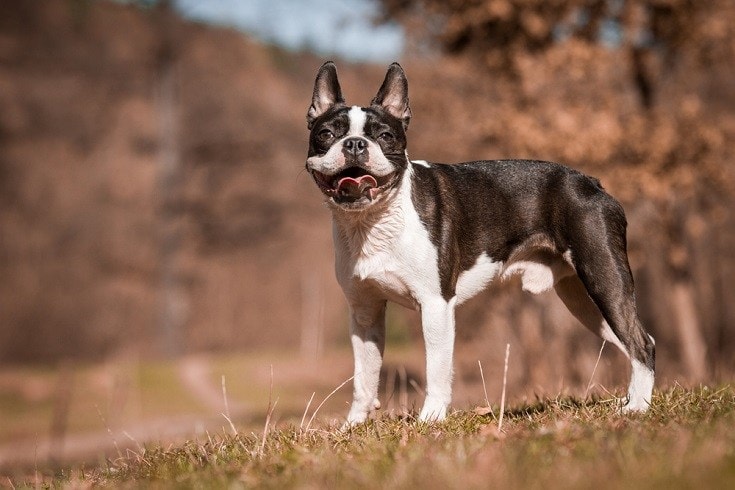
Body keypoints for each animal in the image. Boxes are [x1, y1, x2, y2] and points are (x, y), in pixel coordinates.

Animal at [304, 60, 656, 422]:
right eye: (326, 134)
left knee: (641, 343)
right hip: (583, 299)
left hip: (604, 278)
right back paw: (630, 400)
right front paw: (354, 424)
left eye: (385, 136)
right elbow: (364, 374)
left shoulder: (436, 304)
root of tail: (593, 184)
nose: (355, 144)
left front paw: (431, 419)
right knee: (632, 340)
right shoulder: (365, 311)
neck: (374, 220)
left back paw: (638, 408)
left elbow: (436, 368)